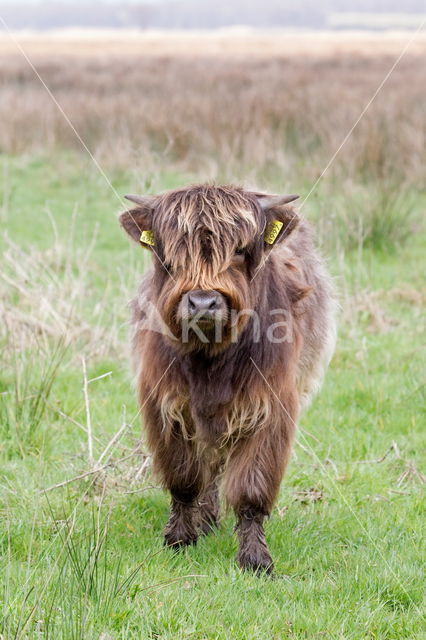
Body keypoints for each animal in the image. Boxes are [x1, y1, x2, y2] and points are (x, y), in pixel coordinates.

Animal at [120, 182, 336, 572]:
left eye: (239, 250)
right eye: (172, 253)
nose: (203, 302)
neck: (210, 359)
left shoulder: (269, 409)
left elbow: (251, 489)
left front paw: (255, 558)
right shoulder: (167, 406)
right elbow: (184, 479)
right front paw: (180, 538)